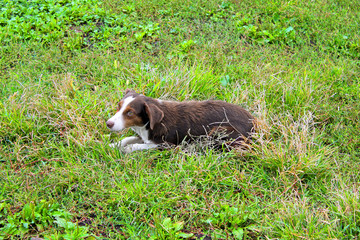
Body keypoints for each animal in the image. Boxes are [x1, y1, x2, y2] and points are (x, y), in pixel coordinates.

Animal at [105, 89, 255, 153]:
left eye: (130, 113)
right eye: (118, 106)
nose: (108, 124)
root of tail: (254, 123)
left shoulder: (167, 145)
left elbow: (137, 145)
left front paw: (127, 149)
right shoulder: (145, 135)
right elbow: (127, 139)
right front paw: (113, 145)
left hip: (219, 131)